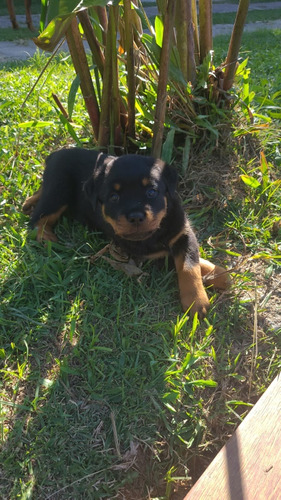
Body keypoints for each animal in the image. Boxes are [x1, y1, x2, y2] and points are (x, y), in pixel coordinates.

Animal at [21, 146, 228, 316]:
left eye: (151, 192)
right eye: (114, 197)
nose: (135, 216)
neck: (155, 233)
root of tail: (55, 154)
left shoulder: (182, 232)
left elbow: (189, 263)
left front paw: (215, 276)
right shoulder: (147, 252)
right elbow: (179, 261)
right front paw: (197, 300)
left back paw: (29, 202)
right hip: (59, 190)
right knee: (37, 220)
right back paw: (48, 238)